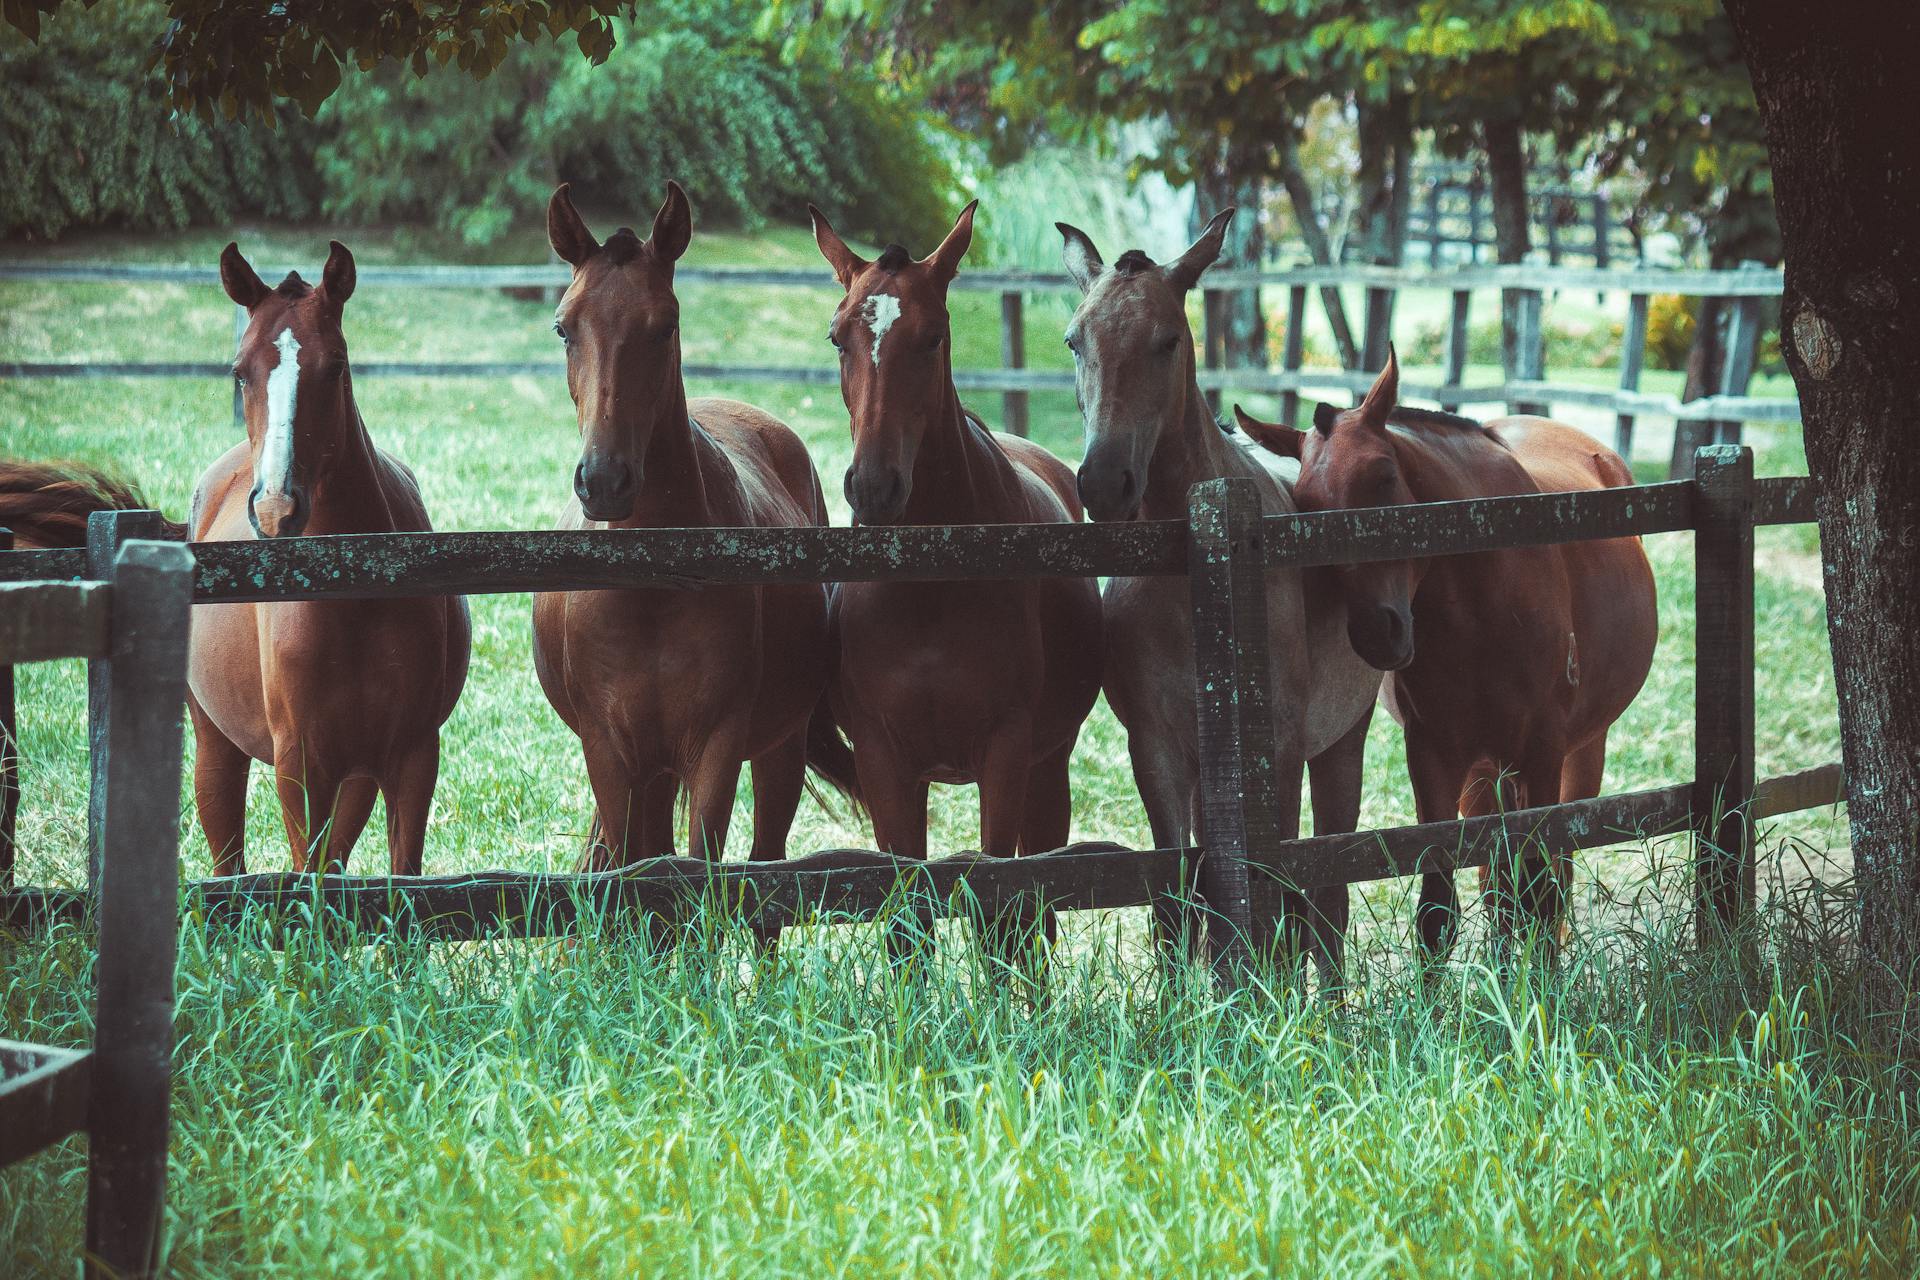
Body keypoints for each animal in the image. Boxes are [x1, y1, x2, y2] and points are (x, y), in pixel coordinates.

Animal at [810, 195, 1105, 967]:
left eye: (934, 337)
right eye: (837, 338)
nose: (874, 486)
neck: (929, 587)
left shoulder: (1005, 754)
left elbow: (1002, 914)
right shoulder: (886, 764)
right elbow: (906, 923)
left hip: (1047, 769)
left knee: (1039, 909)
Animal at [1052, 213, 1382, 982]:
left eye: (1168, 340)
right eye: (1075, 340)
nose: (1104, 483)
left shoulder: (1279, 750)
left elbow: (1280, 898)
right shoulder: (1159, 749)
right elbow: (1178, 901)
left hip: (1342, 743)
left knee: (1329, 896)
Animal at [1236, 353, 1658, 959]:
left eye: (1384, 477)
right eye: (1306, 507)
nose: (1375, 633)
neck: (1486, 601)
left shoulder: (1542, 754)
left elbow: (1539, 894)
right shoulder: (1436, 758)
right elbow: (1439, 911)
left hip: (1579, 754)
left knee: (1550, 877)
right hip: (1485, 773)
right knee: (1498, 883)